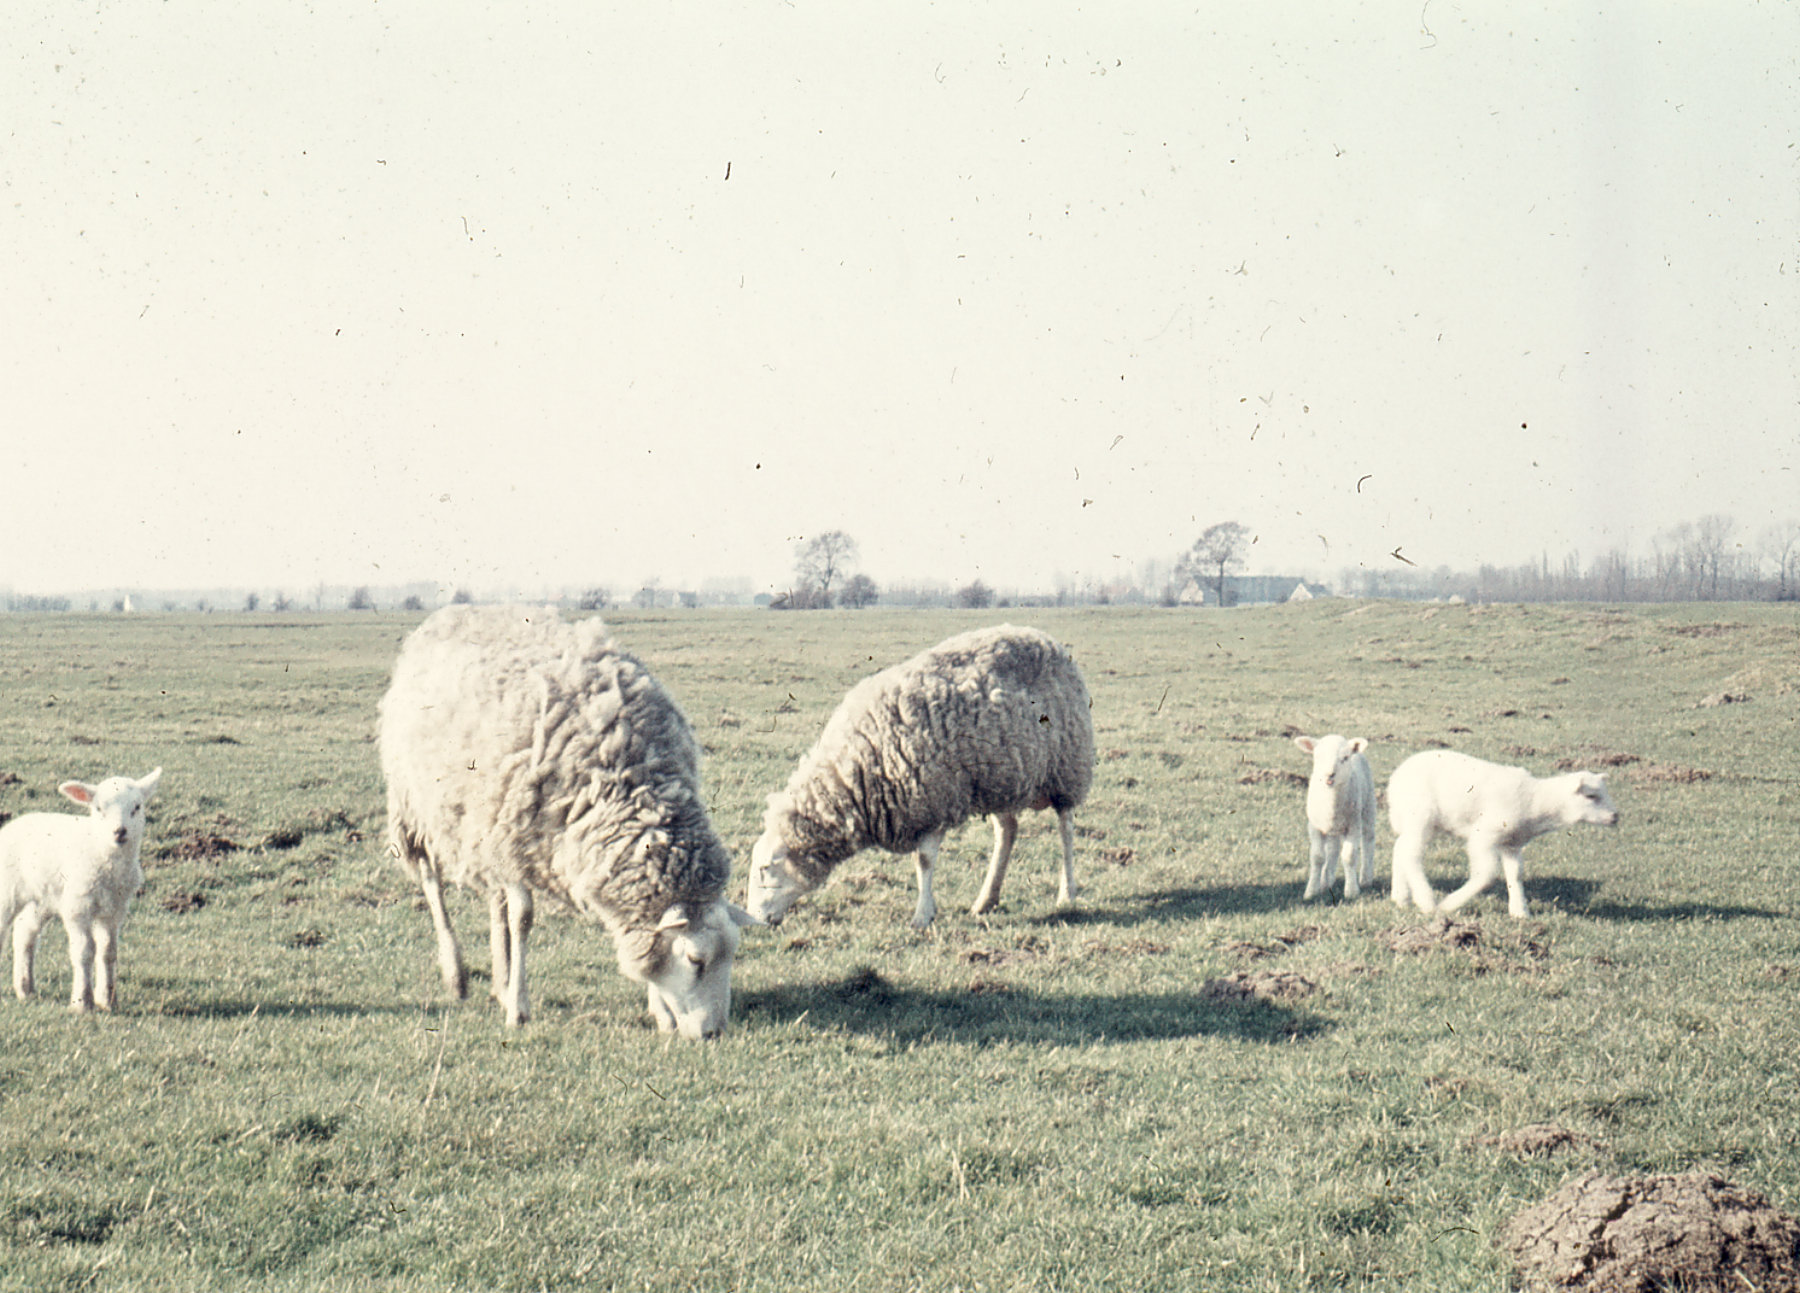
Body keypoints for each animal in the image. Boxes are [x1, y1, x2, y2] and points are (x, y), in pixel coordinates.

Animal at [0, 770, 163, 1015]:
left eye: (137, 806)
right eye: (98, 808)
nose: (120, 831)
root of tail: (15, 823)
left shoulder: (114, 910)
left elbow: (108, 951)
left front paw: (108, 1000)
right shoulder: (77, 906)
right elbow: (85, 951)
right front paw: (82, 1001)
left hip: (43, 899)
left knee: (24, 932)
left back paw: (25, 988)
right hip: (8, 890)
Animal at [376, 601, 756, 1037]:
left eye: (733, 955)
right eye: (696, 960)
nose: (714, 1034)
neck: (625, 778)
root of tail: (456, 611)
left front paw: (660, 1011)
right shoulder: (515, 833)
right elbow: (522, 919)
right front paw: (518, 1009)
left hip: (481, 825)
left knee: (493, 899)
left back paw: (500, 978)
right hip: (417, 807)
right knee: (432, 883)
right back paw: (457, 975)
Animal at [738, 626, 1087, 929]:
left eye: (765, 869)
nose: (753, 920)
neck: (860, 770)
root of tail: (1044, 638)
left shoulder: (934, 802)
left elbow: (924, 862)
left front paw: (922, 916)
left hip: (1066, 767)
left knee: (1066, 829)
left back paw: (1067, 892)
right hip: (1001, 778)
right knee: (1008, 831)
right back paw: (986, 900)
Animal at [1288, 734, 1368, 907]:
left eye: (1345, 758)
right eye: (1317, 756)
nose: (1329, 775)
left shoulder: (1353, 825)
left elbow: (1349, 856)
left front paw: (1351, 891)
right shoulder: (1314, 827)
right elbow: (1317, 857)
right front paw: (1311, 891)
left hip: (1368, 808)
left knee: (1368, 841)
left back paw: (1366, 879)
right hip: (1332, 829)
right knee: (1333, 850)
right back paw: (1326, 882)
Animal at [1382, 749, 1627, 922]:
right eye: (1591, 796)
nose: (1615, 816)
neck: (1536, 801)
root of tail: (1396, 778)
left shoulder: (1512, 843)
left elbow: (1516, 874)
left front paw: (1520, 911)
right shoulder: (1483, 836)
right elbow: (1487, 874)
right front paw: (1450, 904)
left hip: (1419, 821)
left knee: (1400, 848)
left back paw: (1400, 897)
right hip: (1420, 815)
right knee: (1411, 855)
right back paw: (1426, 901)